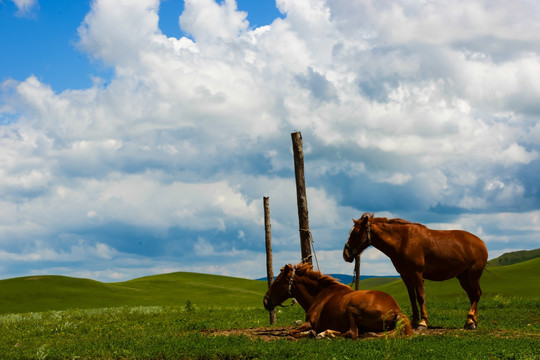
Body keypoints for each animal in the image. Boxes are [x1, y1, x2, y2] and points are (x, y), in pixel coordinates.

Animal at [264, 262, 412, 338]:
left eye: (277, 282)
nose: (265, 301)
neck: (318, 296)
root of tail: (396, 309)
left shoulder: (311, 322)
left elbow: (292, 331)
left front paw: (312, 332)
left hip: (351, 309)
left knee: (352, 333)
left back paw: (325, 333)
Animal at [346, 212, 490, 330]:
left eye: (356, 233)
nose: (346, 254)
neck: (403, 240)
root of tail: (481, 243)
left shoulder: (417, 274)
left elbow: (421, 297)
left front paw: (423, 323)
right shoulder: (405, 275)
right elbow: (412, 297)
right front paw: (414, 321)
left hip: (473, 275)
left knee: (476, 294)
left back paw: (470, 321)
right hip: (463, 277)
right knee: (472, 296)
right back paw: (472, 322)